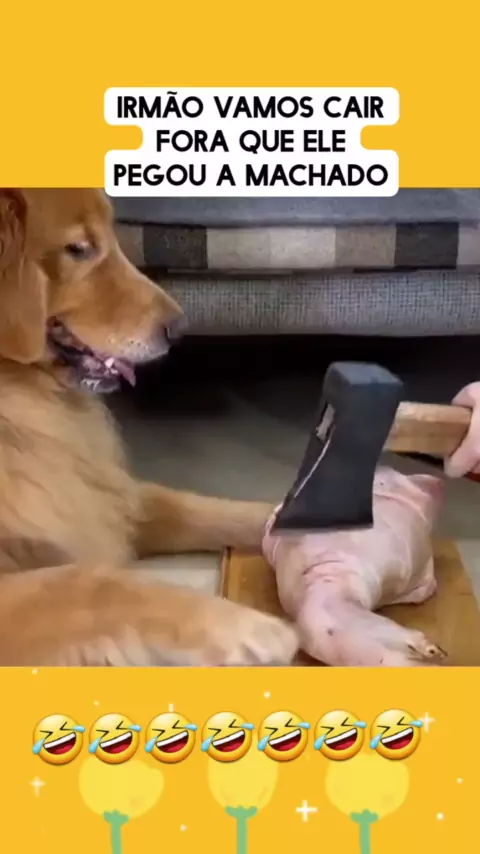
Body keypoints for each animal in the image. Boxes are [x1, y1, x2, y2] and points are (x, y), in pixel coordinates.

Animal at [0, 188, 298, 665]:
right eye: (79, 248)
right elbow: (91, 585)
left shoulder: (107, 494)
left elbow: (203, 508)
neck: (21, 401)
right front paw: (245, 625)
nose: (181, 329)